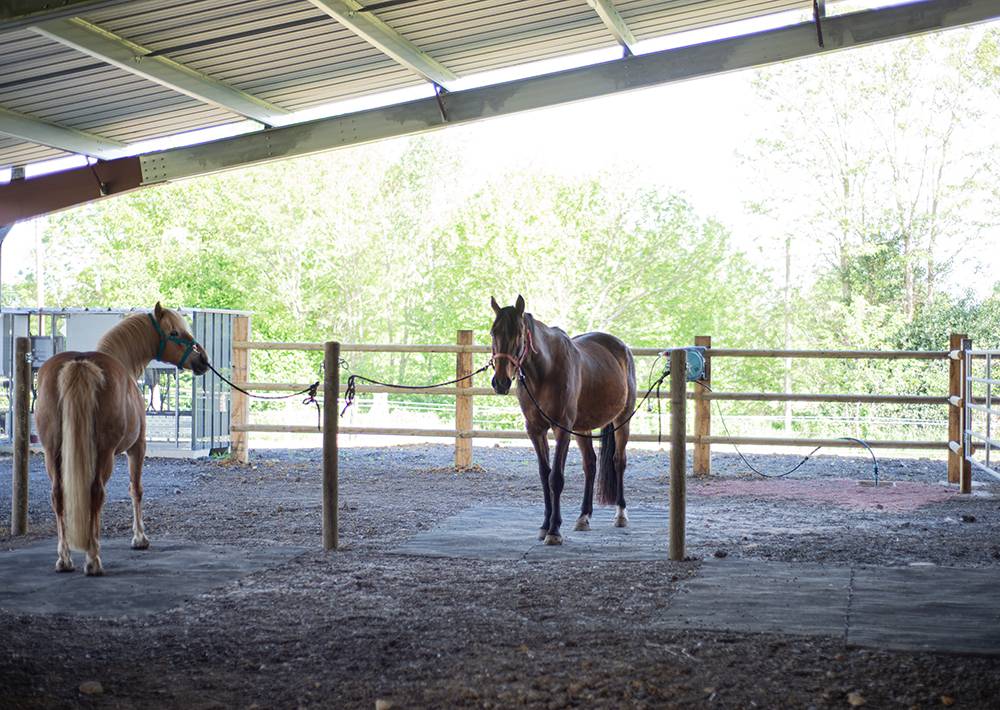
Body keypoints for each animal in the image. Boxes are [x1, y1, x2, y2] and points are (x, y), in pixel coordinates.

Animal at [34, 303, 209, 575]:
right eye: (174, 333)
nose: (202, 360)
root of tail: (80, 364)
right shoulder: (137, 448)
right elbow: (135, 489)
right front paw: (139, 538)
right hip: (104, 453)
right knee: (96, 493)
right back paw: (93, 560)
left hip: (52, 452)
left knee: (58, 495)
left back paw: (65, 559)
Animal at [490, 295, 637, 545]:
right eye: (493, 333)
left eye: (518, 334)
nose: (500, 382)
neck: (544, 371)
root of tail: (621, 347)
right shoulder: (535, 430)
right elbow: (544, 475)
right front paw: (544, 525)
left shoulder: (563, 429)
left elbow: (556, 478)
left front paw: (554, 531)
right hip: (583, 428)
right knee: (590, 464)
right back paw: (584, 516)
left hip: (622, 419)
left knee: (619, 461)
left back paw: (621, 514)